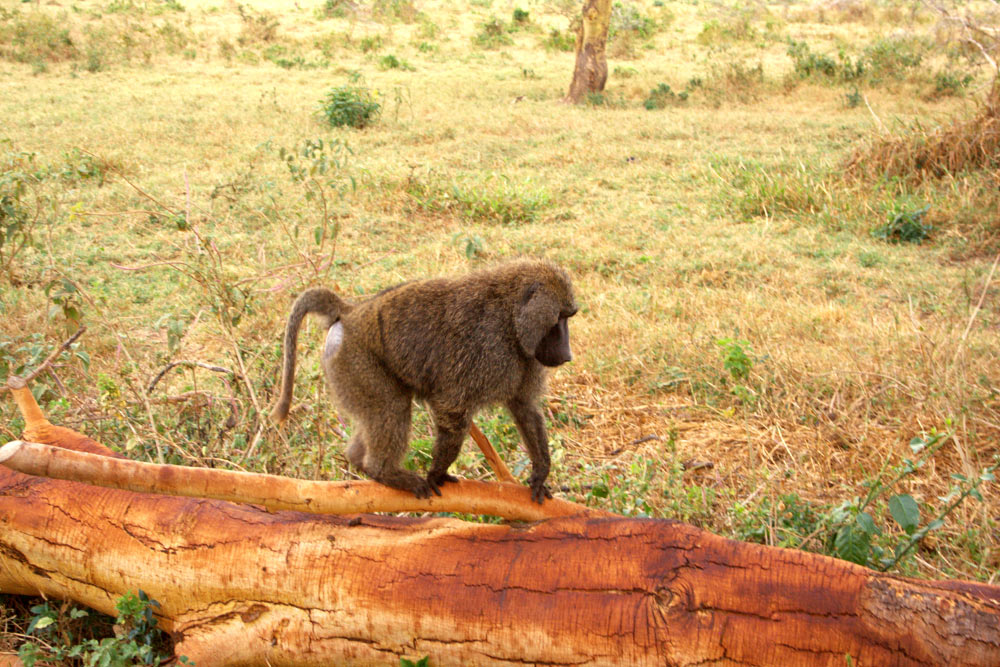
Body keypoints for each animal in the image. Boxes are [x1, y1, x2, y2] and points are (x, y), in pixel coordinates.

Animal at [270, 258, 580, 504]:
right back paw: (384, 471)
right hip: (355, 361)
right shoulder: (487, 348)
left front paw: (540, 473)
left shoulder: (528, 356)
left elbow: (525, 408)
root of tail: (349, 313)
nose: (567, 355)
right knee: (392, 407)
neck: (510, 317)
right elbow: (452, 413)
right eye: (560, 319)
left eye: (568, 317)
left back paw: (362, 463)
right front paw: (436, 475)